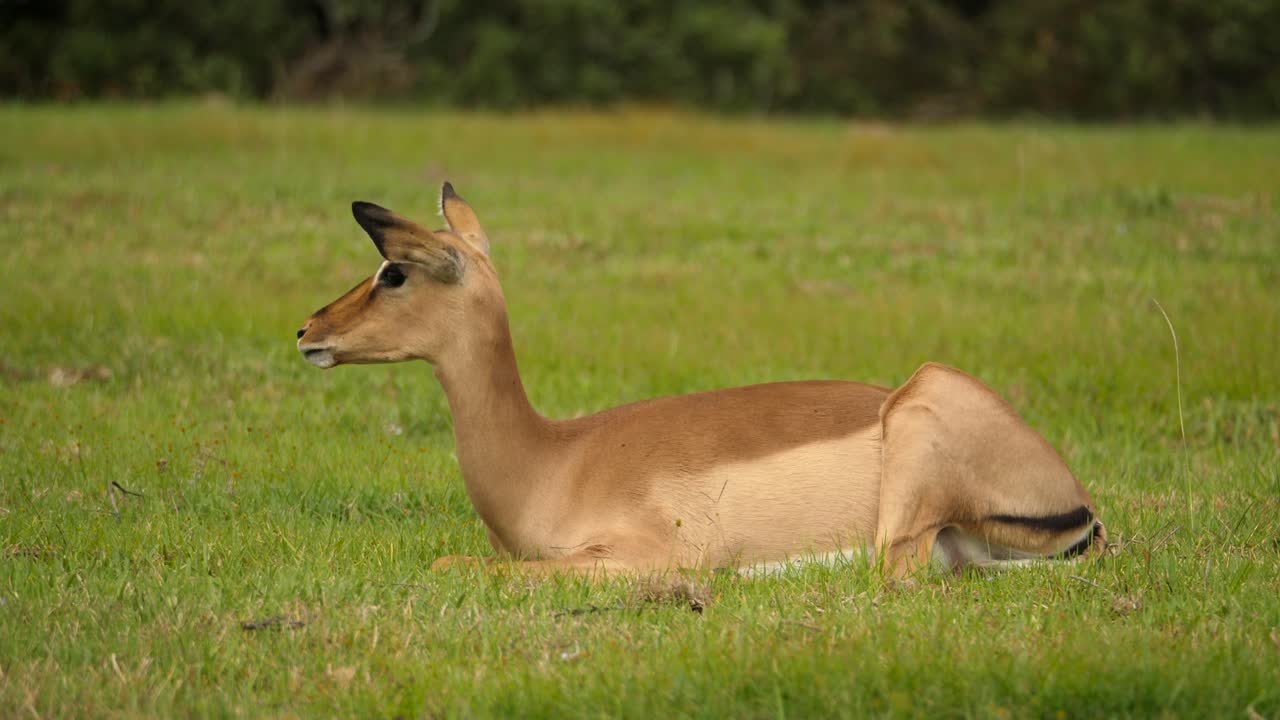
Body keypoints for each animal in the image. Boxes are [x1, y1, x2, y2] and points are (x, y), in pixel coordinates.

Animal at [296, 183, 1106, 578]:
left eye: (393, 271)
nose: (307, 332)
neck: (550, 462)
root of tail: (1081, 508)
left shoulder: (634, 557)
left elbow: (454, 562)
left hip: (917, 436)